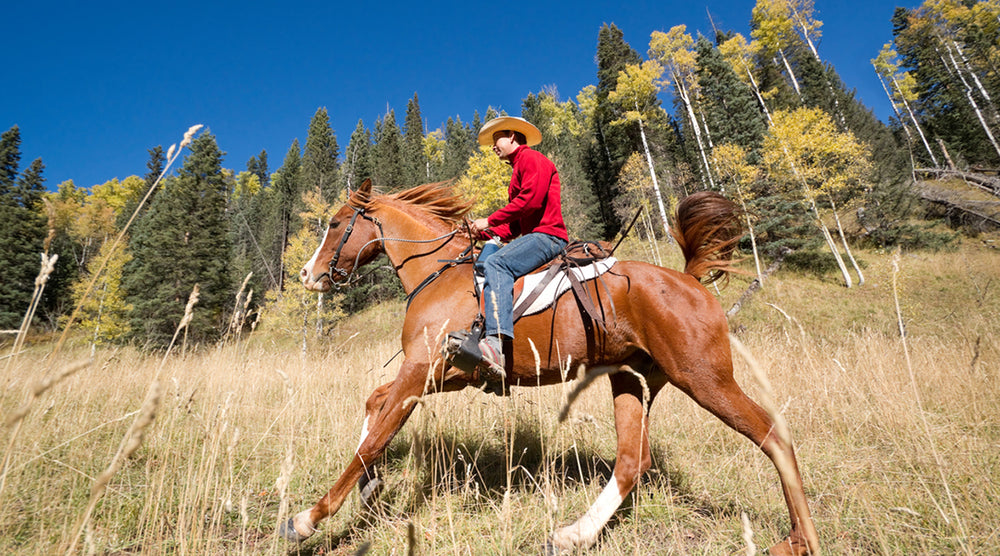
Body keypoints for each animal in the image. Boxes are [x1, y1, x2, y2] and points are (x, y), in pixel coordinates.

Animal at [290, 180, 820, 552]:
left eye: (335, 224)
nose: (307, 274)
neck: (439, 274)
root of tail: (689, 280)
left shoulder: (420, 372)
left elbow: (374, 439)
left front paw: (309, 519)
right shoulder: (442, 376)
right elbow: (374, 407)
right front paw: (370, 489)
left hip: (704, 378)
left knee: (773, 435)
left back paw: (801, 540)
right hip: (634, 381)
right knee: (633, 461)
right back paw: (572, 535)